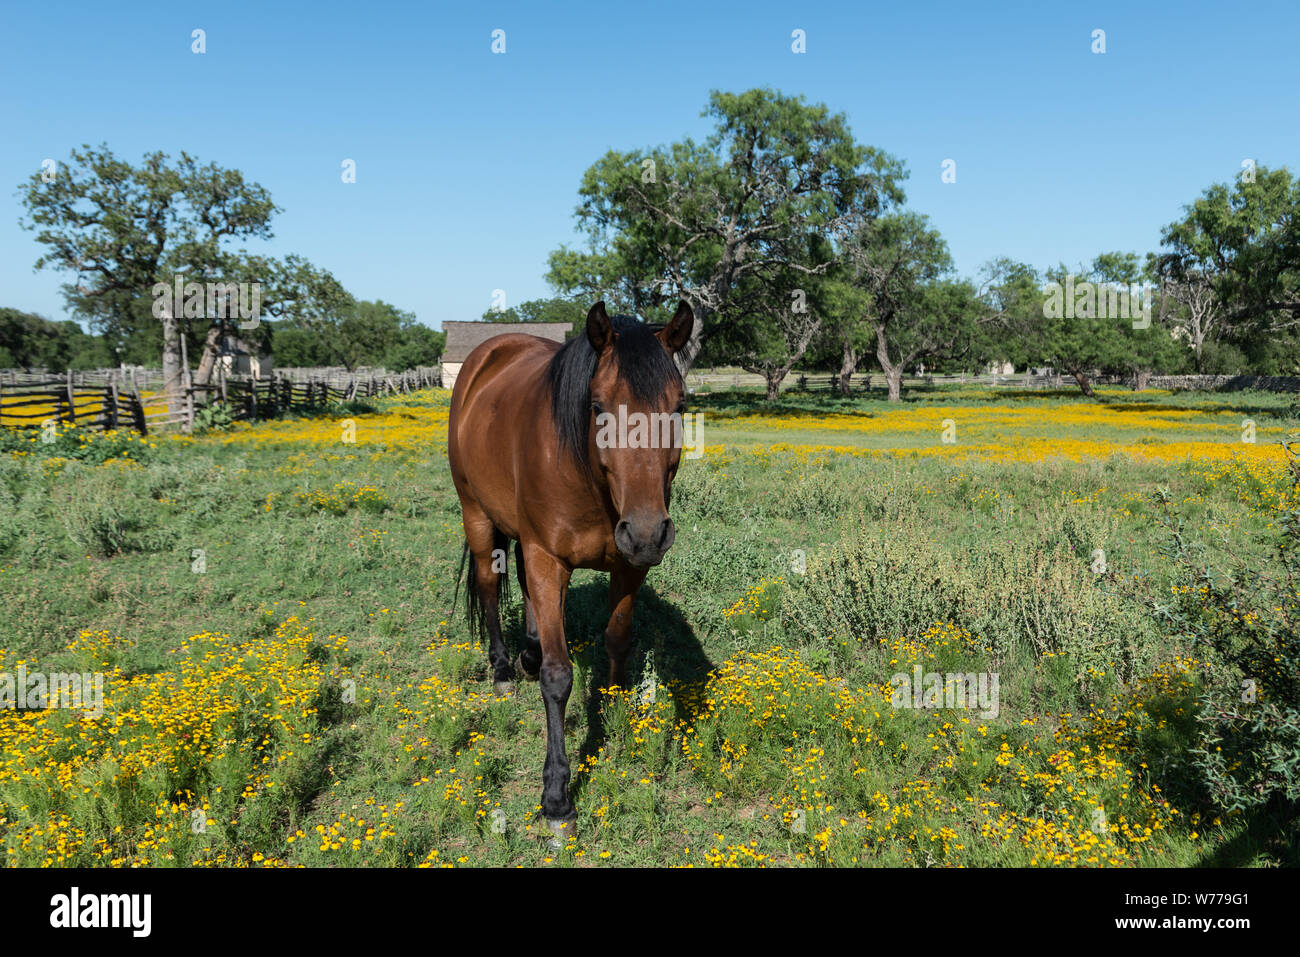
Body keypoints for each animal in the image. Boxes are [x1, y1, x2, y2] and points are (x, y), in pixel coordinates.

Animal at [448, 299, 694, 837]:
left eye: (680, 407)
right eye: (597, 407)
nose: (649, 532)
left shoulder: (628, 564)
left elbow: (618, 638)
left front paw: (617, 709)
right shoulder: (549, 557)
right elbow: (558, 678)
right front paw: (557, 796)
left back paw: (529, 650)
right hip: (476, 515)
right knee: (491, 585)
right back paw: (503, 667)